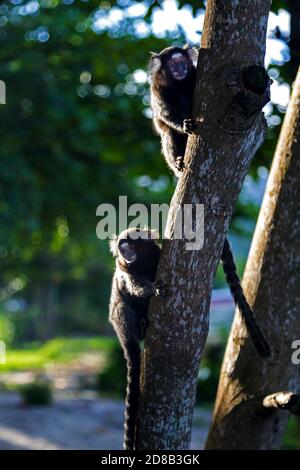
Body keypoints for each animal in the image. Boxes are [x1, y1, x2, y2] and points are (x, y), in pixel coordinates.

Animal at [108, 228, 165, 452]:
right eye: (122, 247)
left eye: (131, 244)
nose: (126, 252)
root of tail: (123, 338)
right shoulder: (126, 273)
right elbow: (134, 287)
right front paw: (151, 289)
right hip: (120, 323)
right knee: (122, 306)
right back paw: (139, 330)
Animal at [149, 45, 270, 360]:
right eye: (173, 64)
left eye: (182, 62)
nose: (180, 68)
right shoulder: (158, 92)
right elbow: (166, 117)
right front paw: (183, 123)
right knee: (168, 137)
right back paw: (179, 162)